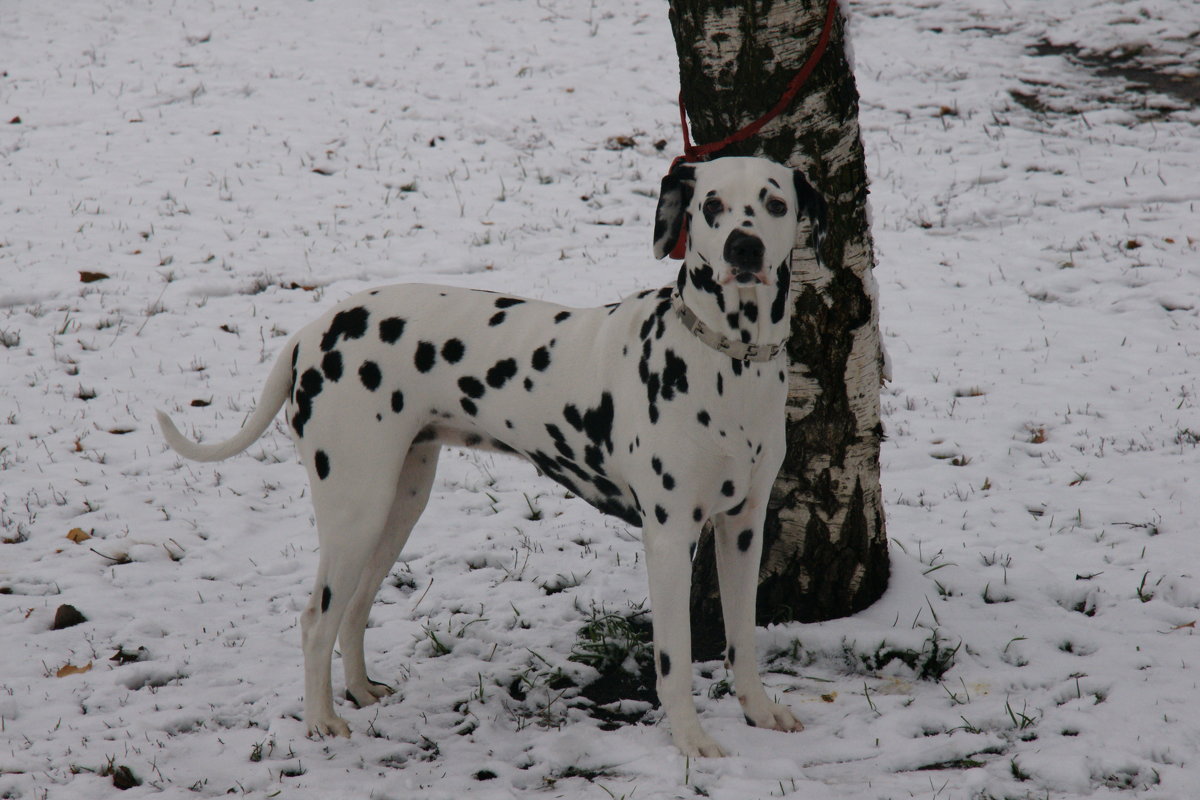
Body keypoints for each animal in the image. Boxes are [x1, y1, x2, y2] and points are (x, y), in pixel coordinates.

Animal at [157, 154, 825, 758]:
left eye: (774, 203)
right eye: (711, 205)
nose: (744, 248)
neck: (728, 363)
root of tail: (311, 331)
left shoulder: (743, 527)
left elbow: (741, 637)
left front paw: (760, 712)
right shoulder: (668, 536)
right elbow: (675, 660)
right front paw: (690, 740)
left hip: (397, 508)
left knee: (353, 608)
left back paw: (360, 691)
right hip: (355, 511)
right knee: (316, 620)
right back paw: (322, 721)